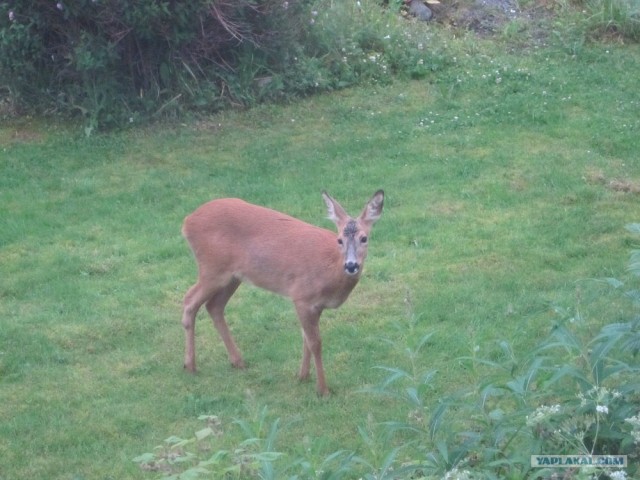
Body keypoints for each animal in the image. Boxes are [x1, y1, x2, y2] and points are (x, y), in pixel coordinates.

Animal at [182, 189, 388, 396]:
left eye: (364, 238)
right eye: (339, 240)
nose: (351, 265)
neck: (331, 268)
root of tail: (187, 221)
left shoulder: (315, 304)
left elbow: (306, 339)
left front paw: (303, 376)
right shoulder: (302, 296)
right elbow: (315, 343)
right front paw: (323, 390)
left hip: (233, 276)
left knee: (214, 306)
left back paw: (237, 361)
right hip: (212, 268)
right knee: (189, 301)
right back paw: (190, 365)